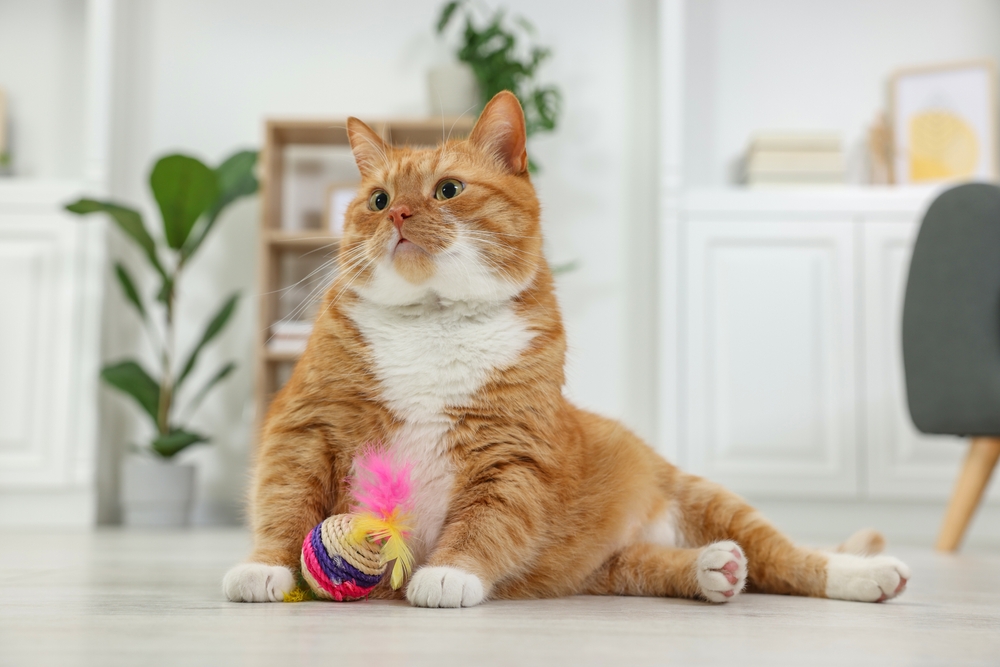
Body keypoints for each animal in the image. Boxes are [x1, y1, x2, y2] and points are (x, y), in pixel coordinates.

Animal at [223, 91, 912, 608]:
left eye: (448, 190)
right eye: (378, 200)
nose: (398, 217)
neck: (432, 321)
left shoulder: (514, 451)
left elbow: (488, 518)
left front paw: (451, 572)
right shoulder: (306, 428)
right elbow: (284, 501)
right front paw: (266, 567)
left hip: (706, 496)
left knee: (789, 555)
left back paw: (864, 576)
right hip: (605, 569)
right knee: (653, 565)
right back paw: (711, 570)